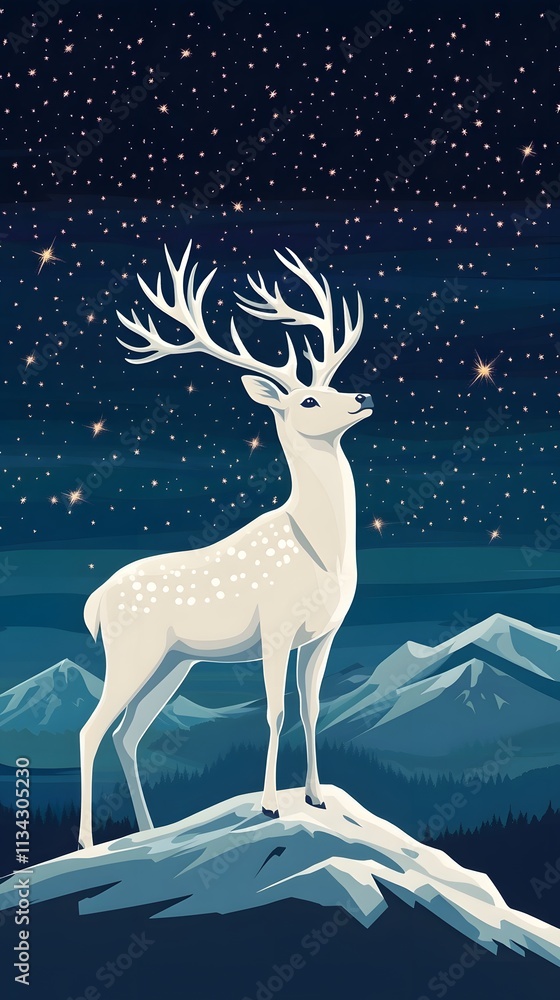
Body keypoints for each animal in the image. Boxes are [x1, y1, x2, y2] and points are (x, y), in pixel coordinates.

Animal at [78, 243, 372, 849]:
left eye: (335, 386)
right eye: (308, 401)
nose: (363, 395)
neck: (320, 552)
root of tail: (94, 604)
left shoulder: (324, 633)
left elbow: (313, 709)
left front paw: (315, 796)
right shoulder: (277, 626)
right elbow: (275, 711)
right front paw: (269, 805)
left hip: (172, 663)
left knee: (127, 733)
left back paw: (150, 830)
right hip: (132, 651)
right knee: (91, 729)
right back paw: (87, 843)